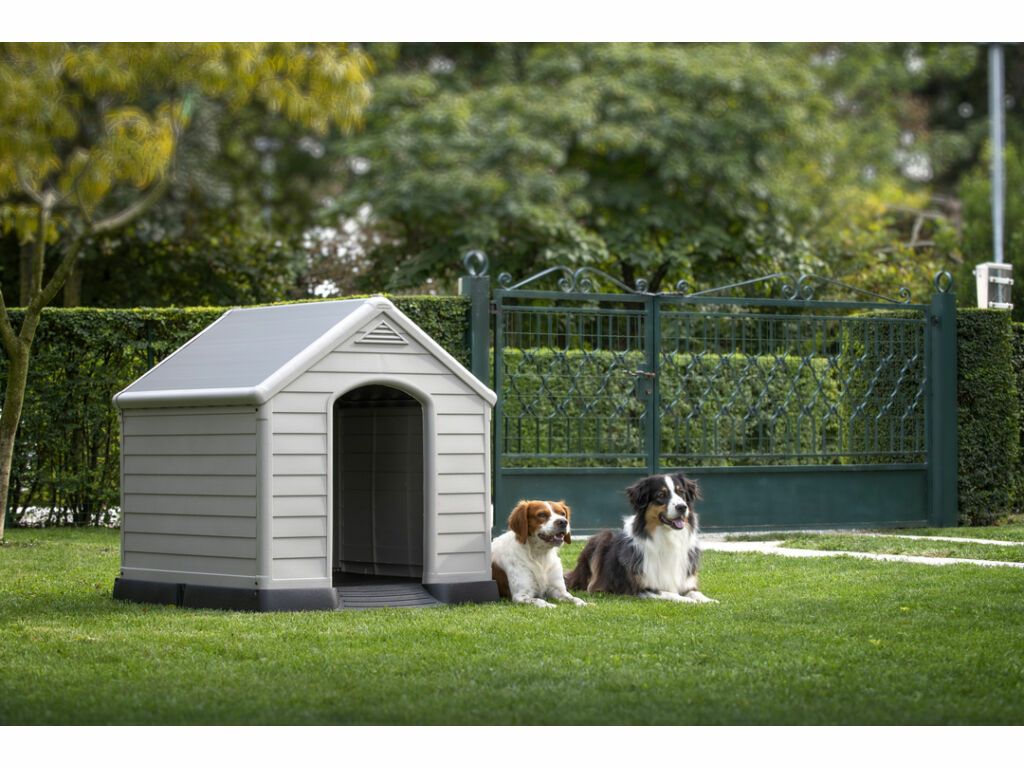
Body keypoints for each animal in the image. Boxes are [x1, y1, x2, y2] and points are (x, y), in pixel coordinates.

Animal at [565, 473, 716, 603]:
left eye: (681, 493)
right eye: (661, 495)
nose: (682, 507)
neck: (668, 537)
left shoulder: (686, 582)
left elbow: (696, 593)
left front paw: (710, 601)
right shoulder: (640, 589)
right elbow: (670, 593)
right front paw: (688, 601)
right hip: (601, 538)